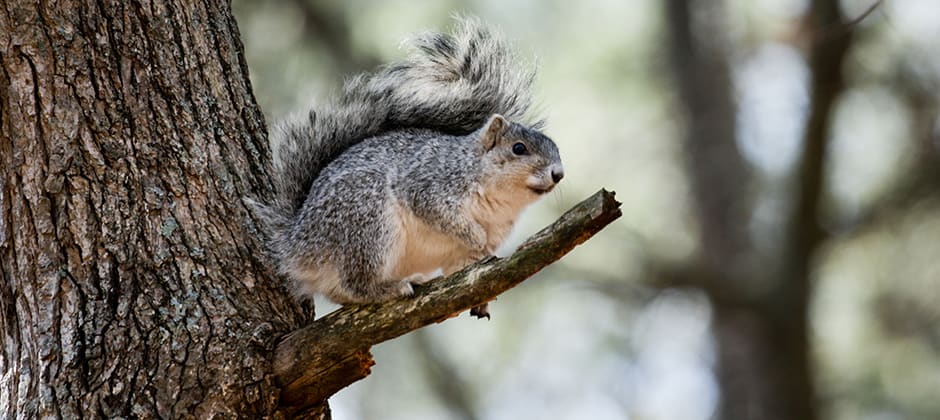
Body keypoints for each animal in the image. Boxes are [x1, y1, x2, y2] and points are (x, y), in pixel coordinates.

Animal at [250, 18, 563, 318]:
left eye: (557, 150)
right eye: (519, 148)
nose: (558, 174)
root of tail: (297, 241)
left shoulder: (467, 250)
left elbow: (465, 272)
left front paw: (481, 298)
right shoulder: (429, 185)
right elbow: (441, 215)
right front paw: (475, 235)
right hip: (367, 219)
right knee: (355, 283)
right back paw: (389, 288)